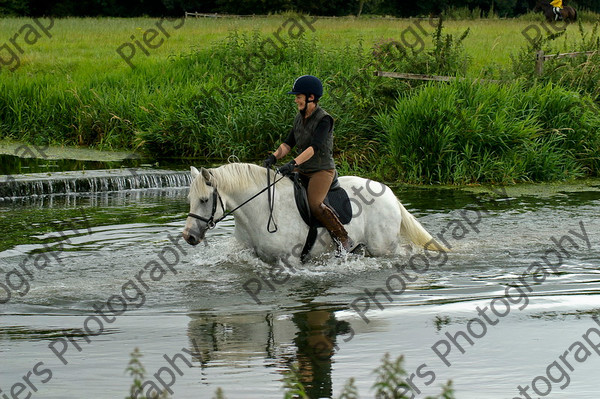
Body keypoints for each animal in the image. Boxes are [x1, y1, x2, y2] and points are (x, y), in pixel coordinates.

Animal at [182, 163, 440, 260]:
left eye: (204, 200)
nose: (188, 236)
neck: (259, 209)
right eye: (190, 200)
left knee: (406, 250)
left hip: (383, 247)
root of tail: (389, 194)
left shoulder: (290, 260)